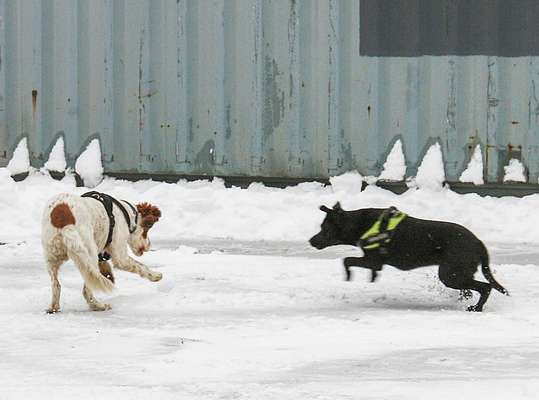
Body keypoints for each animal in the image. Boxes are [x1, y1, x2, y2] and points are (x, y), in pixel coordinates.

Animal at [310, 203, 508, 312]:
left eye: (324, 228)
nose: (311, 240)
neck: (359, 223)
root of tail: (478, 242)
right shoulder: (373, 263)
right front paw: (371, 276)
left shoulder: (372, 260)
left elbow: (346, 260)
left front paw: (349, 275)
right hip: (457, 273)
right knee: (472, 288)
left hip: (450, 275)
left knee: (486, 287)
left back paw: (477, 308)